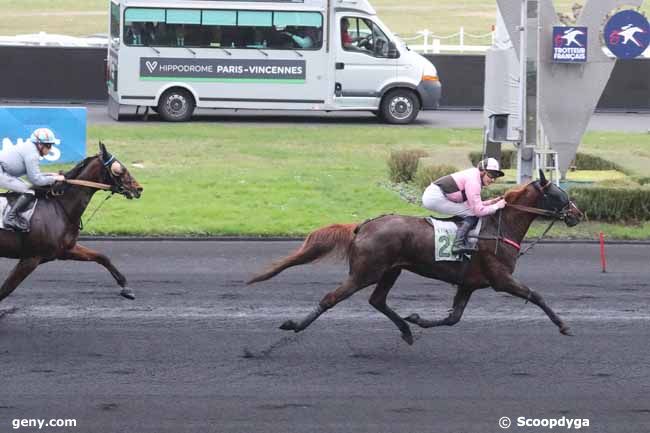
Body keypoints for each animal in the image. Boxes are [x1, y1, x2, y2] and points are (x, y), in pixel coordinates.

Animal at [0, 142, 142, 304]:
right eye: (120, 169)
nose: (139, 188)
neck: (59, 208)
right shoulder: (31, 258)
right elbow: (6, 289)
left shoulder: (65, 250)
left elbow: (102, 257)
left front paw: (126, 288)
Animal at [248, 170, 584, 342]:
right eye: (559, 195)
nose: (577, 215)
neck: (498, 227)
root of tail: (363, 225)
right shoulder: (500, 278)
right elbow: (536, 295)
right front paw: (564, 326)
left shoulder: (469, 283)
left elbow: (453, 318)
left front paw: (418, 319)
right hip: (365, 272)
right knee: (332, 298)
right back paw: (293, 327)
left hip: (391, 270)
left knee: (377, 300)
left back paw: (407, 330)